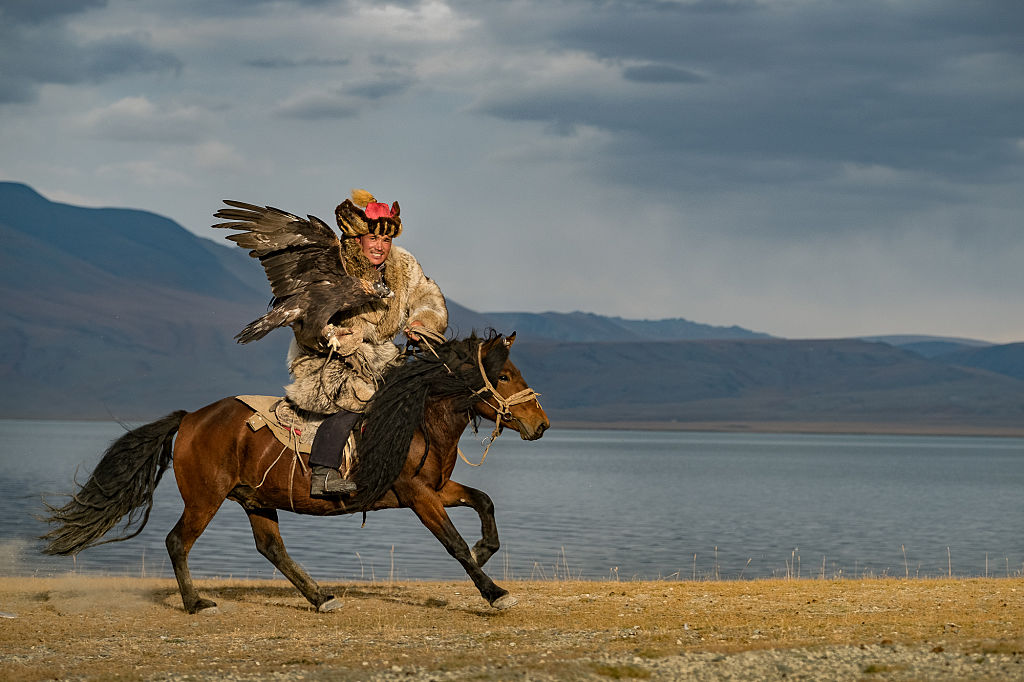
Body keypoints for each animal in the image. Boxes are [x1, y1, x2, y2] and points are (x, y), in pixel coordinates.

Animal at [43, 331, 548, 614]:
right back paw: (196, 604)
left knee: (271, 549)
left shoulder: (436, 488)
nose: (541, 425)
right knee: (177, 542)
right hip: (205, 498)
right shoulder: (418, 495)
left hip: (256, 500)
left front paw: (486, 551)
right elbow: (454, 545)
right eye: (504, 376)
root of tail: (190, 419)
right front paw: (495, 593)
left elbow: (484, 502)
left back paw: (321, 598)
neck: (417, 418)